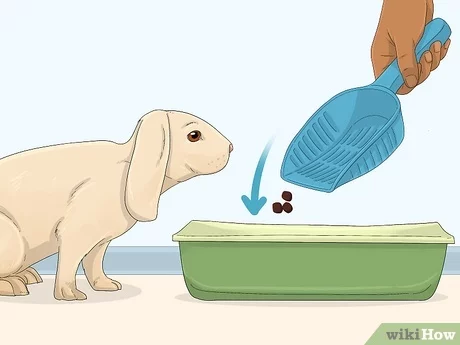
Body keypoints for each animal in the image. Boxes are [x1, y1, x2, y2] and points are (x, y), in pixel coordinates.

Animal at [0, 109, 232, 300]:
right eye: (194, 135)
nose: (231, 146)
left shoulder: (102, 239)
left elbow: (94, 262)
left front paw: (108, 286)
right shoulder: (75, 230)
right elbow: (70, 261)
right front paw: (72, 296)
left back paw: (29, 276)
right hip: (14, 242)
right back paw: (14, 286)